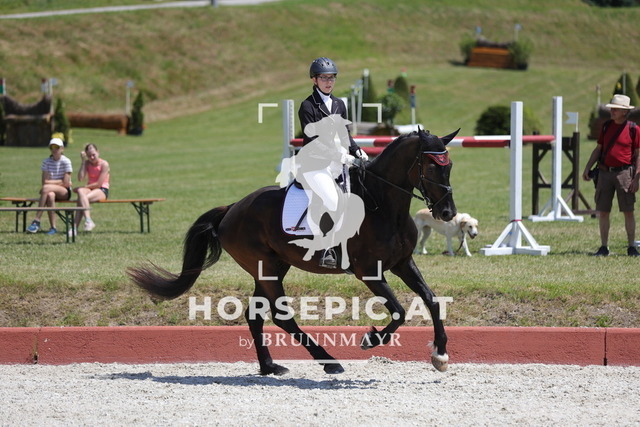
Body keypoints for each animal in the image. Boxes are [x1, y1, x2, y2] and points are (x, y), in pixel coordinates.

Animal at [127, 127, 459, 375]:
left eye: (450, 166)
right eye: (431, 166)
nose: (447, 212)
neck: (384, 206)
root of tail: (233, 208)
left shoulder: (403, 262)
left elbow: (431, 300)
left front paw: (440, 355)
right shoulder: (369, 272)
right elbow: (399, 310)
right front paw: (371, 338)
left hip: (272, 267)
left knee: (255, 315)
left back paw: (269, 367)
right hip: (265, 267)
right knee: (281, 316)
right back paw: (329, 362)